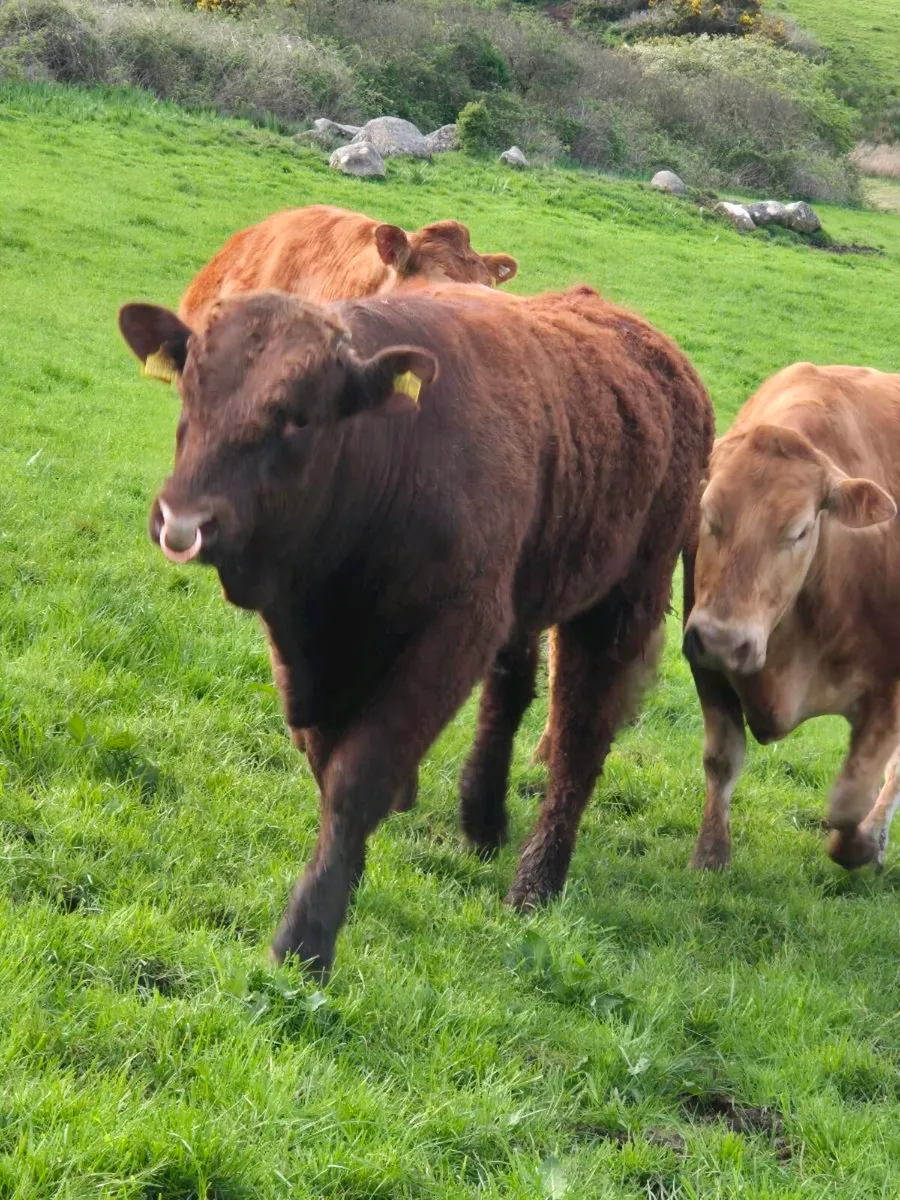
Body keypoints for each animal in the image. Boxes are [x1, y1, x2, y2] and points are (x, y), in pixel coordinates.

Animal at [119, 283, 712, 974]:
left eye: (299, 417)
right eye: (189, 392)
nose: (183, 521)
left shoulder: (454, 631)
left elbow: (358, 777)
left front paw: (306, 939)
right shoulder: (312, 654)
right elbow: (325, 759)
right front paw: (351, 873)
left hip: (624, 600)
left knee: (578, 735)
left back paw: (536, 883)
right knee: (510, 694)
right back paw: (483, 820)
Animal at [682, 362, 900, 873]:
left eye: (800, 530)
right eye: (707, 514)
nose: (724, 640)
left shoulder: (890, 694)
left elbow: (850, 800)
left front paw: (864, 845)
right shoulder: (706, 665)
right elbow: (721, 758)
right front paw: (711, 853)